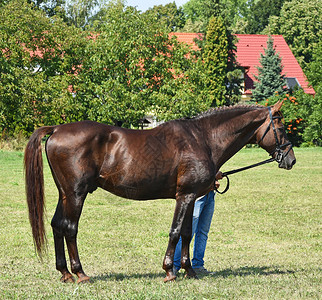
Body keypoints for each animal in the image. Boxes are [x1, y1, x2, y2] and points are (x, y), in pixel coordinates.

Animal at [24, 102, 296, 282]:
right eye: (282, 128)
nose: (290, 159)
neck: (203, 139)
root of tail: (57, 129)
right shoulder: (185, 196)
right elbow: (175, 232)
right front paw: (169, 271)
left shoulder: (191, 197)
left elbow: (187, 233)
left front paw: (189, 270)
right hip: (76, 194)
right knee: (70, 228)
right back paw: (80, 273)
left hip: (65, 193)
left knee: (57, 225)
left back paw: (65, 273)